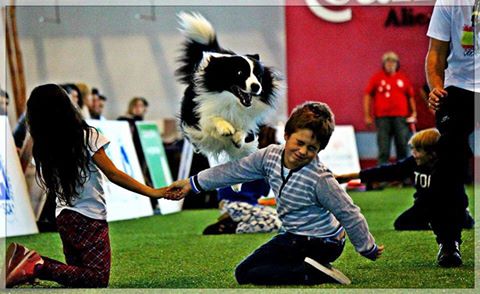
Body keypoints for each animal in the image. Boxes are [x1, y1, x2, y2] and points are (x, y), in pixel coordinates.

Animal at [175, 11, 282, 161]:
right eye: (239, 73)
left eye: (259, 75)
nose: (256, 86)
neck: (232, 103)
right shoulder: (197, 117)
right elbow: (210, 118)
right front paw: (225, 128)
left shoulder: (251, 124)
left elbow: (246, 129)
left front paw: (238, 137)